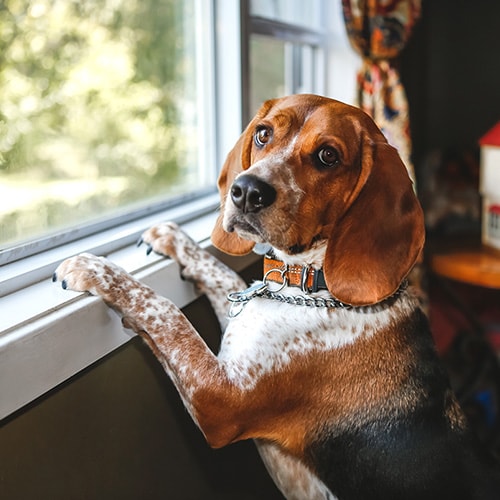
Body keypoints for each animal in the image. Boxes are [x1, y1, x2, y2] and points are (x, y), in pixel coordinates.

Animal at [54, 94, 500, 500]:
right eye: (264, 134)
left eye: (327, 156)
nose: (246, 190)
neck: (310, 284)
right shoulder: (244, 321)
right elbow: (221, 273)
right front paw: (173, 238)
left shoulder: (218, 395)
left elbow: (164, 312)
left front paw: (95, 269)